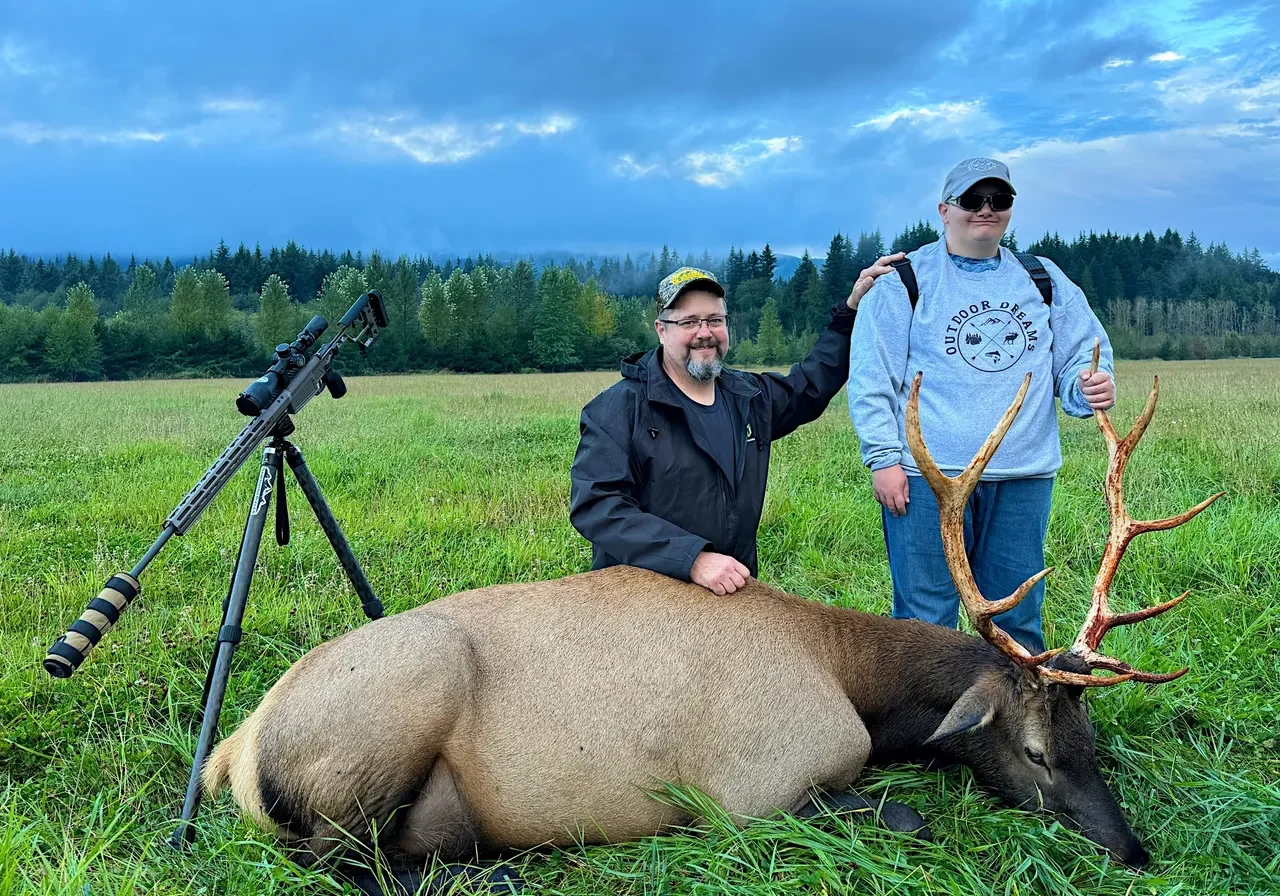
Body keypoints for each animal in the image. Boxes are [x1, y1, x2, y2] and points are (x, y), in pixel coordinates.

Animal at [202, 352, 1221, 895]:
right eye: (1038, 753)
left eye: (1095, 741)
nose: (1134, 850)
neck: (848, 674)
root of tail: (232, 751)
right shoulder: (750, 792)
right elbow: (907, 815)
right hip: (386, 725)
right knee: (330, 862)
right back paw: (496, 872)